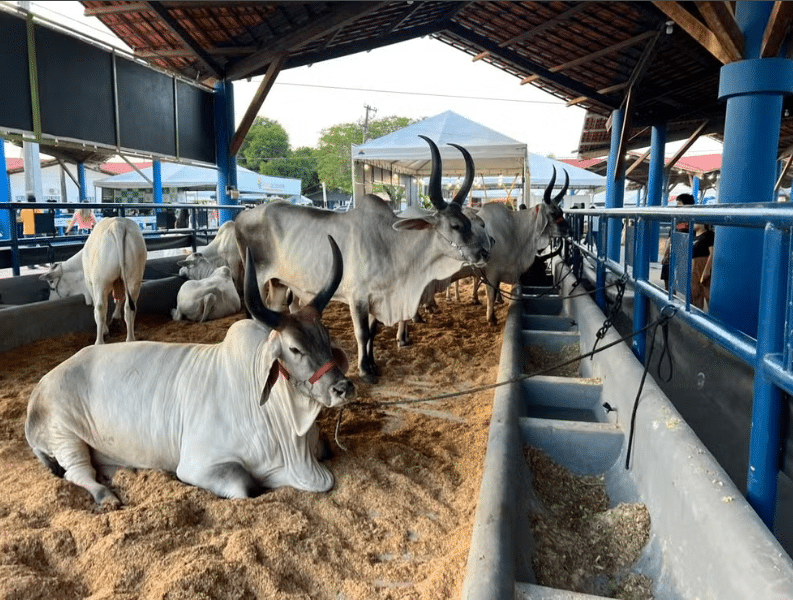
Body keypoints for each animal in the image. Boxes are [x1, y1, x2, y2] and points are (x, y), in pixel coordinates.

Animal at [25, 237, 355, 506]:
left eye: (325, 337)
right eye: (294, 349)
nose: (343, 388)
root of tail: (39, 389)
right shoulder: (199, 465)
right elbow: (245, 486)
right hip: (64, 435)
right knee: (77, 473)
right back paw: (105, 495)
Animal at [40, 216, 147, 345]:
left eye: (51, 282)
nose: (50, 299)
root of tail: (118, 224)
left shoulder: (90, 285)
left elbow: (96, 307)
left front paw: (105, 329)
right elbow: (119, 300)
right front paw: (115, 319)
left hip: (101, 282)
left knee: (100, 308)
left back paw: (99, 342)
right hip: (134, 279)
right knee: (129, 308)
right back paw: (130, 339)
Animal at [236, 136, 491, 383]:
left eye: (469, 222)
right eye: (456, 225)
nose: (484, 252)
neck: (391, 245)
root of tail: (241, 217)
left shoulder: (378, 298)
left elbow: (373, 332)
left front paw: (373, 363)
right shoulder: (357, 298)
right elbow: (362, 333)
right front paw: (364, 370)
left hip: (279, 283)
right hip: (258, 278)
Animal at [471, 167, 571, 325]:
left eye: (561, 211)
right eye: (552, 212)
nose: (569, 230)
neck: (514, 230)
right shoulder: (492, 272)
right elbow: (490, 295)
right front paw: (491, 319)